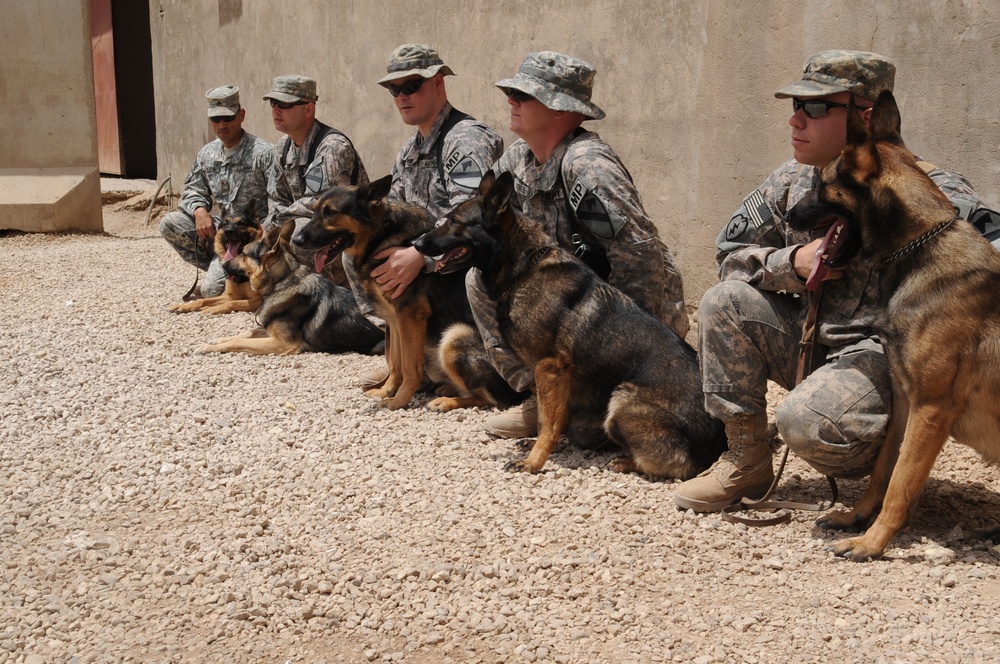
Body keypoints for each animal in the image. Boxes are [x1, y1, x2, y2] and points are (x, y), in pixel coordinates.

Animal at [196, 220, 382, 358]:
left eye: (243, 253)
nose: (223, 264)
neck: (282, 283)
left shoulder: (281, 343)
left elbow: (240, 342)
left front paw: (207, 347)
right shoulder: (269, 332)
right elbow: (246, 333)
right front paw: (216, 340)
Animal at [290, 175, 524, 410]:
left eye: (330, 212)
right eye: (315, 210)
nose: (296, 240)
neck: (381, 234)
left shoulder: (410, 317)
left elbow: (410, 367)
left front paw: (398, 401)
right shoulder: (395, 321)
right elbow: (396, 363)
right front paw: (386, 391)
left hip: (454, 337)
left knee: (495, 398)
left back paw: (448, 401)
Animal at [410, 172, 724, 478]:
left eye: (455, 221)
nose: (416, 245)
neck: (525, 269)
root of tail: (717, 440)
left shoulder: (549, 368)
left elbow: (548, 423)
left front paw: (533, 462)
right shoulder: (546, 374)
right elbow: (546, 416)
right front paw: (536, 448)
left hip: (621, 403)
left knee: (681, 465)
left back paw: (627, 462)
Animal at [788, 91, 1000, 564]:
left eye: (820, 184)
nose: (789, 214)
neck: (920, 247)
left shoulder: (931, 408)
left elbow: (901, 482)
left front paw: (872, 542)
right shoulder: (905, 400)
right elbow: (884, 469)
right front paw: (856, 519)